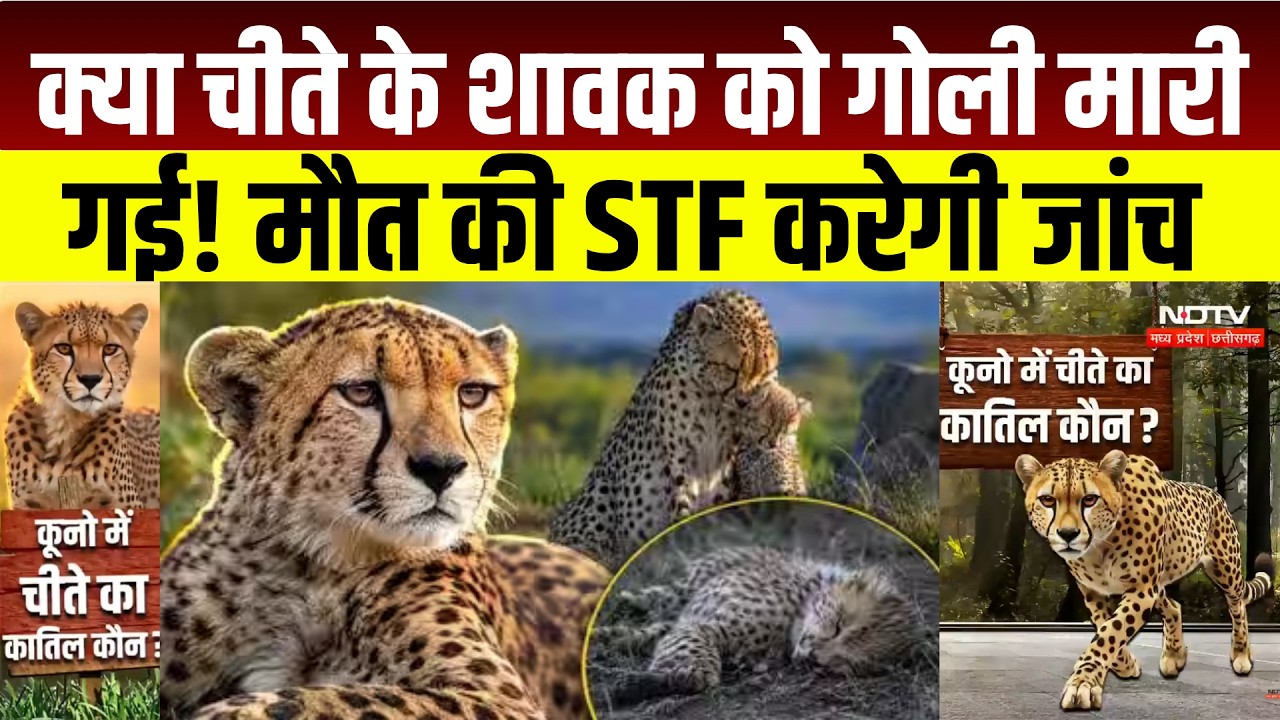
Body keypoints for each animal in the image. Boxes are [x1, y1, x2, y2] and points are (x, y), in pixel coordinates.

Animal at [160, 298, 610, 720]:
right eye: (361, 392)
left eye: (472, 394)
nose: (441, 468)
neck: (303, 567)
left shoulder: (498, 697)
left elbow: (332, 699)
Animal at [548, 289, 780, 570]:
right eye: (731, 368)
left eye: (764, 373)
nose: (743, 402)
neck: (713, 398)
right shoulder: (680, 457)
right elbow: (683, 506)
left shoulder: (728, 457)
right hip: (599, 495)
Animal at [590, 545, 922, 707]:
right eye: (839, 625)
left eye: (849, 664)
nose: (815, 658)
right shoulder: (704, 625)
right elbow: (699, 667)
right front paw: (678, 677)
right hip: (689, 586)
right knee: (655, 598)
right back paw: (618, 607)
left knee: (652, 628)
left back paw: (611, 639)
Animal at [1015, 450, 1276, 711]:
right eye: (1048, 500)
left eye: (1089, 500)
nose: (1068, 534)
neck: (1100, 546)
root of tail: (1215, 494)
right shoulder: (1094, 592)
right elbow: (1105, 628)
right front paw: (1125, 666)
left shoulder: (1141, 589)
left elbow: (1111, 632)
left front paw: (1083, 683)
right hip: (1160, 583)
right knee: (1174, 607)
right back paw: (1173, 656)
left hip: (1225, 568)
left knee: (1238, 607)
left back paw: (1240, 656)